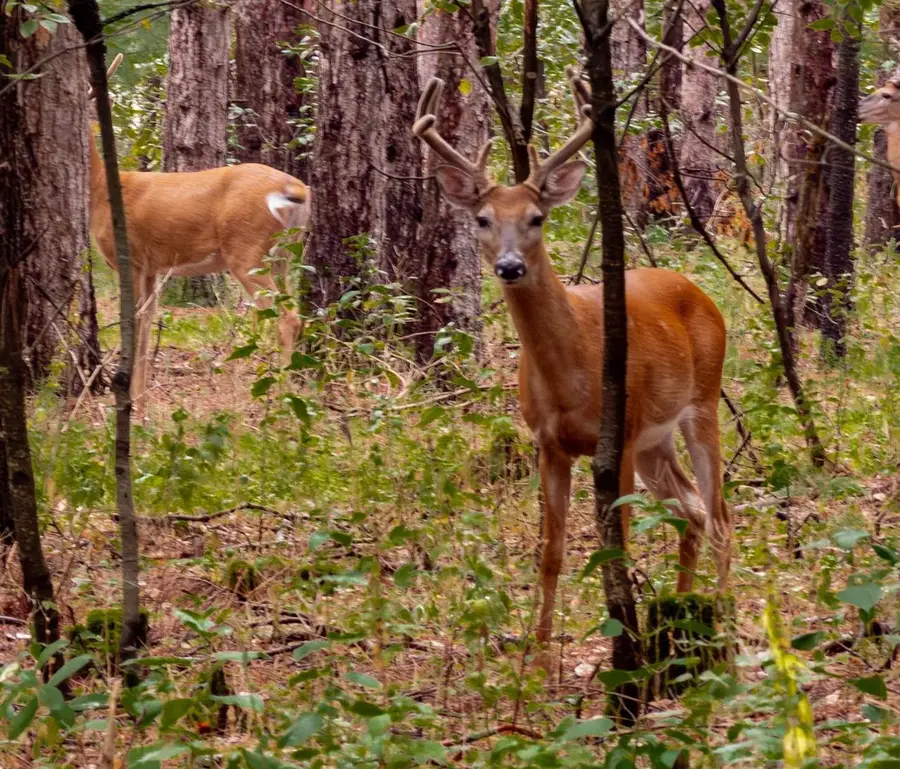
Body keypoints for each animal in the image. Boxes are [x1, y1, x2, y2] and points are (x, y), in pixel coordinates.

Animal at [88, 54, 310, 408]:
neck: (100, 190)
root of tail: (297, 189)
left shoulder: (130, 258)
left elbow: (134, 320)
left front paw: (129, 397)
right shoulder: (153, 265)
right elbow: (148, 321)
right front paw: (141, 395)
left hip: (247, 250)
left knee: (284, 316)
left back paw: (281, 398)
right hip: (285, 256)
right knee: (292, 312)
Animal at [412, 73, 732, 668]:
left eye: (536, 218)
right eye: (483, 220)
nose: (509, 266)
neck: (573, 372)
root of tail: (694, 287)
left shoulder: (618, 438)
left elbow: (616, 546)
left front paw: (622, 649)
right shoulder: (549, 443)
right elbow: (551, 552)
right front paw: (538, 662)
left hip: (702, 402)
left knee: (721, 514)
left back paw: (719, 621)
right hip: (656, 440)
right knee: (692, 511)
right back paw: (681, 617)